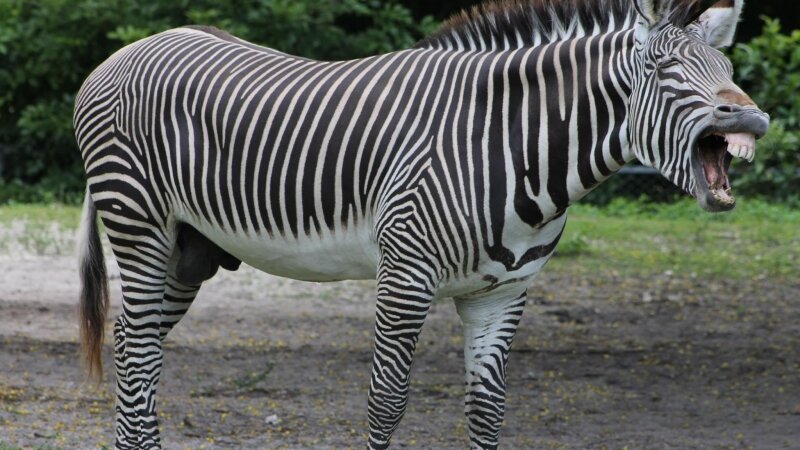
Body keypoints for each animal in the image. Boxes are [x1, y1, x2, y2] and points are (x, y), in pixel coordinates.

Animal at [74, 0, 769, 448]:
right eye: (663, 73)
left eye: (730, 74)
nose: (754, 120)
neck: (508, 147)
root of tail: (132, 47)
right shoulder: (404, 277)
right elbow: (386, 403)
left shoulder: (503, 293)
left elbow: (487, 412)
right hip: (138, 224)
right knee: (137, 350)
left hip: (190, 250)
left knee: (137, 347)